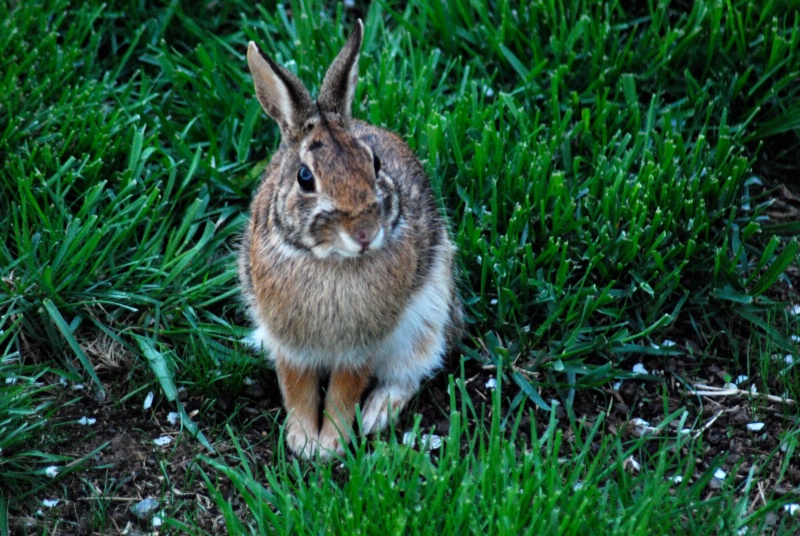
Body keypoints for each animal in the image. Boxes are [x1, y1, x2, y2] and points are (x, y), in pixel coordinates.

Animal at [241, 18, 460, 458]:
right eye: (305, 178)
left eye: (374, 163)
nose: (365, 233)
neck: (330, 261)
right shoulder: (288, 342)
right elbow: (297, 386)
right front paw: (303, 441)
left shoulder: (362, 345)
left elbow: (345, 389)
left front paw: (330, 445)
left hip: (426, 321)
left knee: (409, 372)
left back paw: (377, 414)